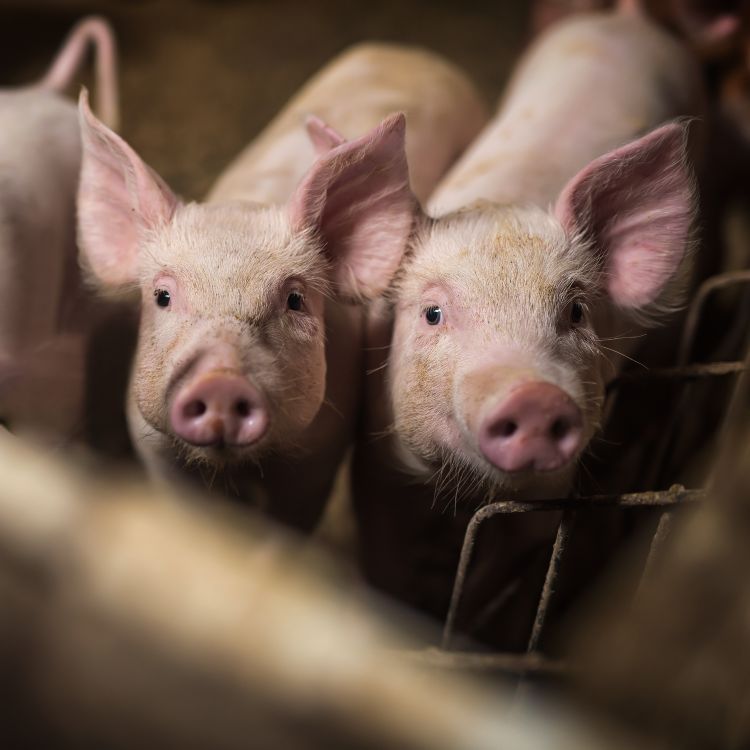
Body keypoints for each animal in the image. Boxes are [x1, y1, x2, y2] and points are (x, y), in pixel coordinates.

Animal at [76, 44, 488, 532]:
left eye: (294, 300)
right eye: (162, 297)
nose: (220, 382)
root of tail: (405, 52)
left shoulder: (318, 458)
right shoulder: (155, 451)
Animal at [344, 2, 708, 644]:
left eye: (576, 311)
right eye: (433, 313)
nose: (535, 397)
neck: (472, 495)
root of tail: (625, 21)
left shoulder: (550, 499)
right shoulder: (381, 472)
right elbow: (390, 568)